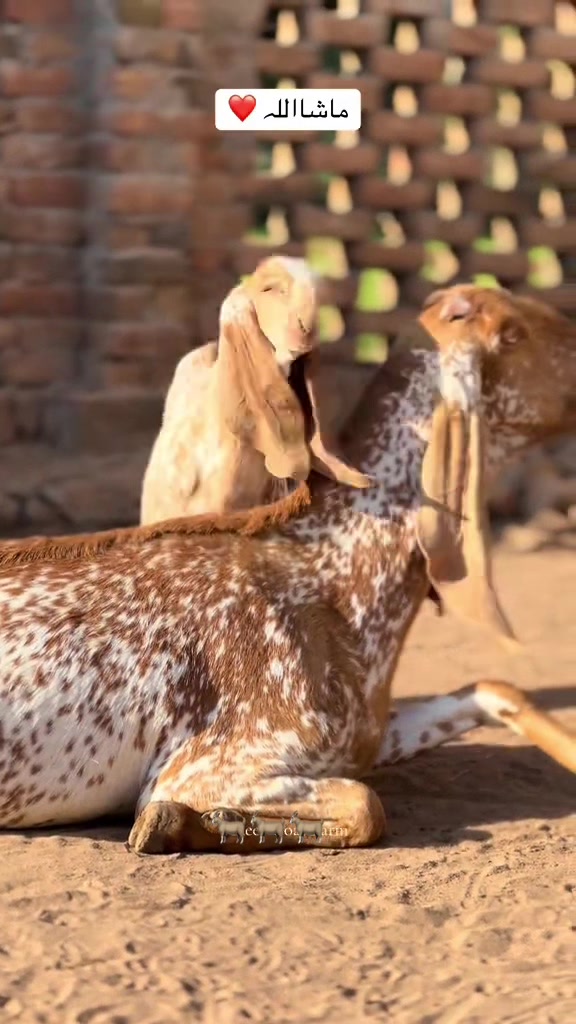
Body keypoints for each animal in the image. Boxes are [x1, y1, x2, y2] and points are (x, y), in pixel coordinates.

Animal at [0, 285, 574, 855]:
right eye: (511, 333)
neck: (334, 579)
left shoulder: (360, 738)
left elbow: (495, 689)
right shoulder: (207, 766)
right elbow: (366, 806)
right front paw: (173, 824)